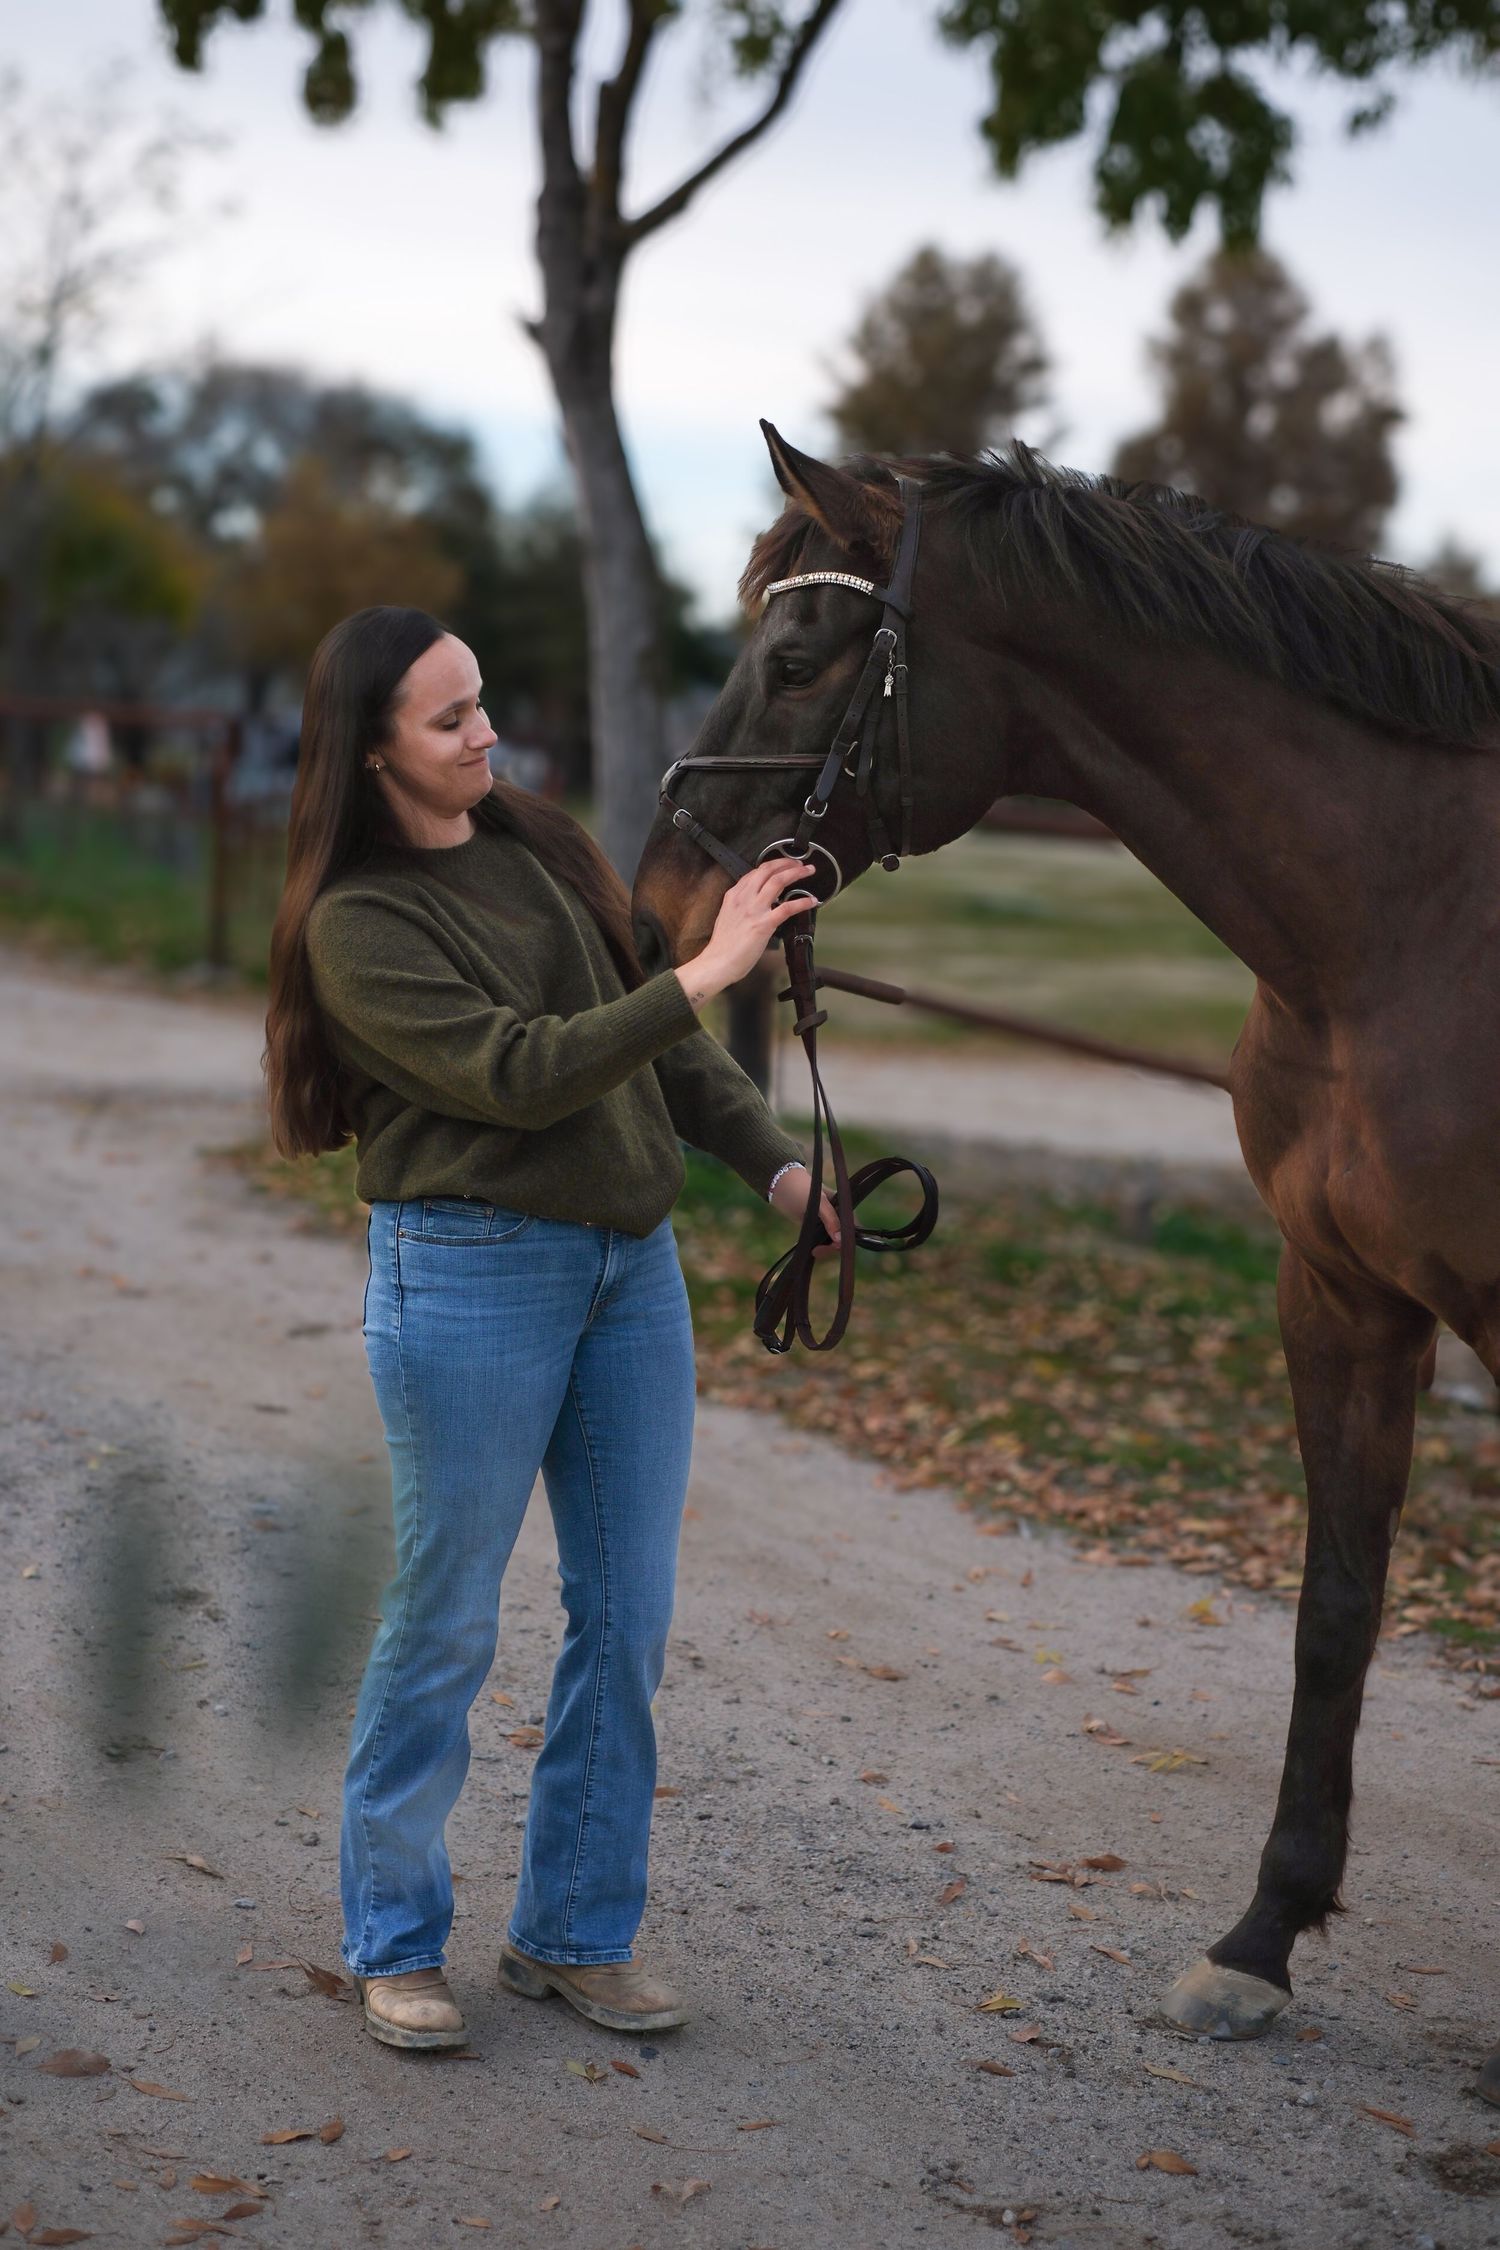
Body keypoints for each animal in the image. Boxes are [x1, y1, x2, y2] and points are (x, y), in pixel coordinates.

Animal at [630, 421, 1500, 2093]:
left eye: (797, 656)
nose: (659, 905)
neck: (1418, 923)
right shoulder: (1340, 1297)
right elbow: (1336, 1607)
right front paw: (1259, 1941)